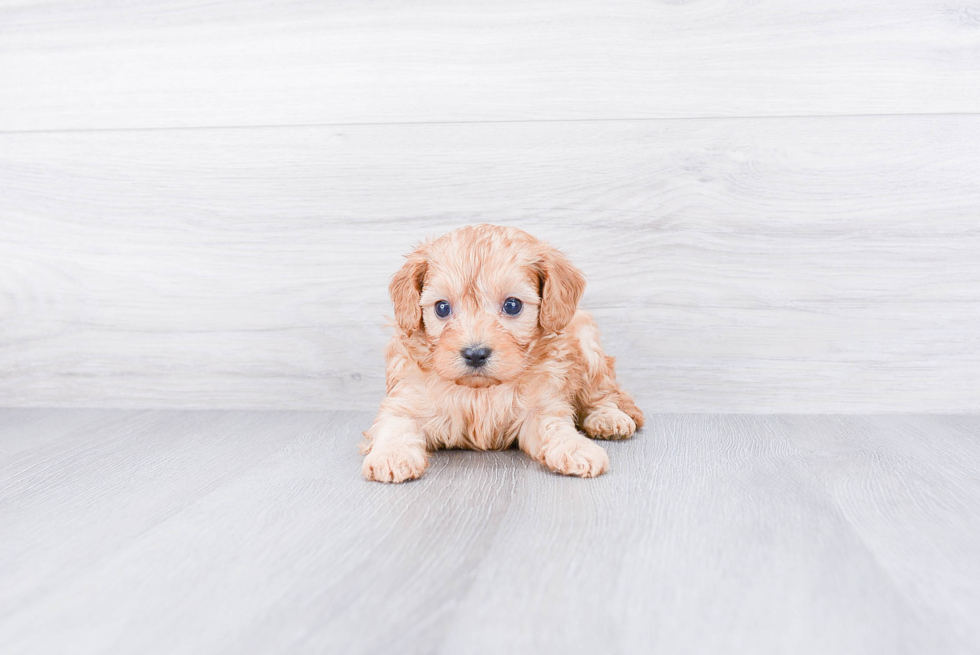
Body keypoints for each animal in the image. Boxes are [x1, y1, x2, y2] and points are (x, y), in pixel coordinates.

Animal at [360, 226, 644, 482]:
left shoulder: (540, 409)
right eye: (442, 308)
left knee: (602, 392)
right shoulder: (406, 399)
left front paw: (575, 447)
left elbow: (554, 427)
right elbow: (396, 424)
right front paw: (392, 455)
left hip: (587, 346)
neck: (479, 393)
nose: (475, 354)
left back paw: (608, 418)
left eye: (512, 305)